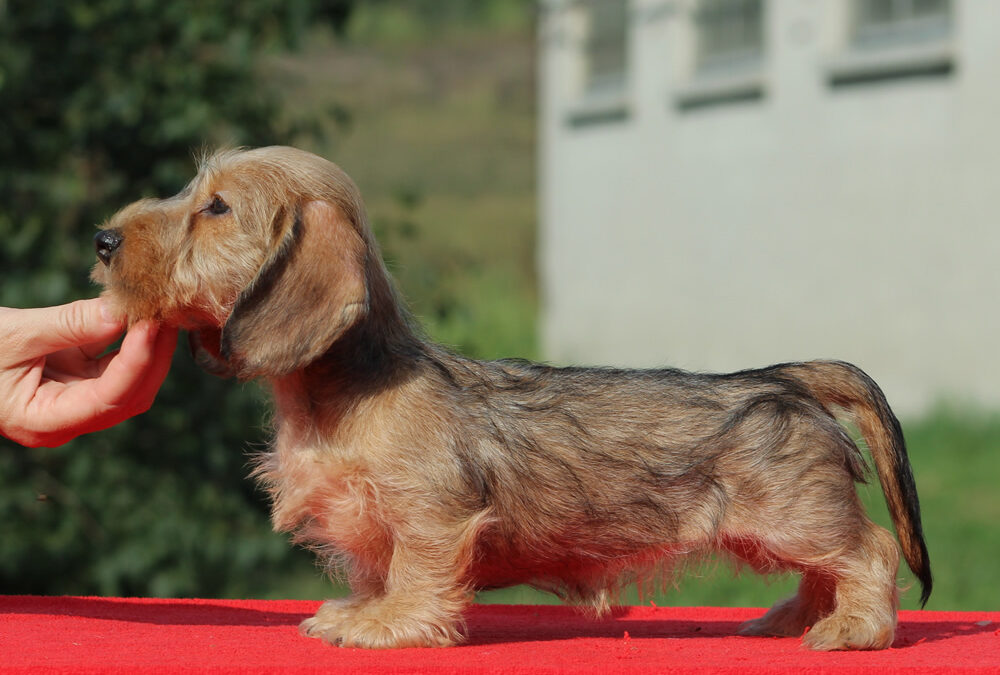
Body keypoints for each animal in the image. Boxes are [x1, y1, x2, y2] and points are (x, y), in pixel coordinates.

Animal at [92, 147, 928, 648]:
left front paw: (391, 622)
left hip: (795, 515)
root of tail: (784, 377)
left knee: (870, 551)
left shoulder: (430, 512)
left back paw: (852, 628)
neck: (349, 388)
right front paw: (367, 608)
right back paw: (795, 618)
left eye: (217, 208)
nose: (101, 239)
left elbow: (417, 569)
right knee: (824, 570)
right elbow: (377, 567)